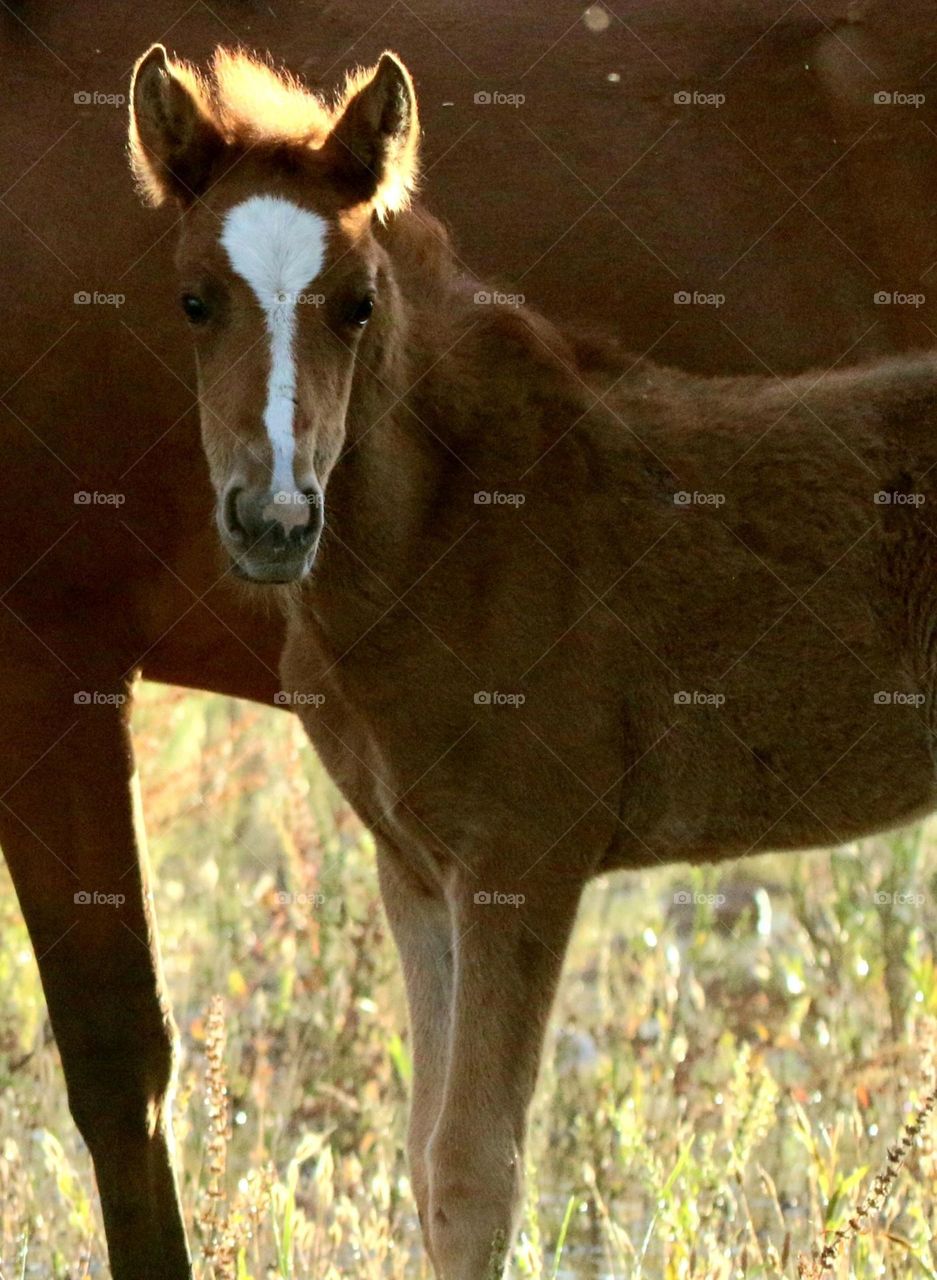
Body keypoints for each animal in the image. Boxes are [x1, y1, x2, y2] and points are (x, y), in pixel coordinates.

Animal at [3, 1, 937, 1276]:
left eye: (358, 301)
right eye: (192, 299)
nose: (272, 517)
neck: (456, 514)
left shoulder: (520, 852)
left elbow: (459, 1165)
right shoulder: (417, 864)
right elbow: (424, 1150)